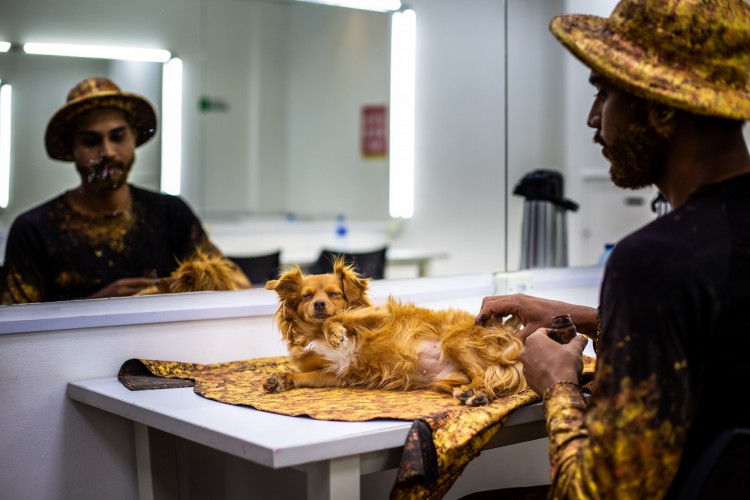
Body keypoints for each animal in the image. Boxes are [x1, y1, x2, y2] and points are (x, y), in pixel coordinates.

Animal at [264, 262, 528, 406]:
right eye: (306, 296)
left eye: (333, 294)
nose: (318, 304)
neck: (316, 334)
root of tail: (506, 333)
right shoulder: (337, 373)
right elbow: (306, 377)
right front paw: (283, 379)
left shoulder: (380, 315)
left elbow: (337, 318)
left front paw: (336, 333)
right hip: (443, 380)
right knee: (480, 381)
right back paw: (470, 394)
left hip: (454, 340)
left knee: (484, 378)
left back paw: (477, 395)